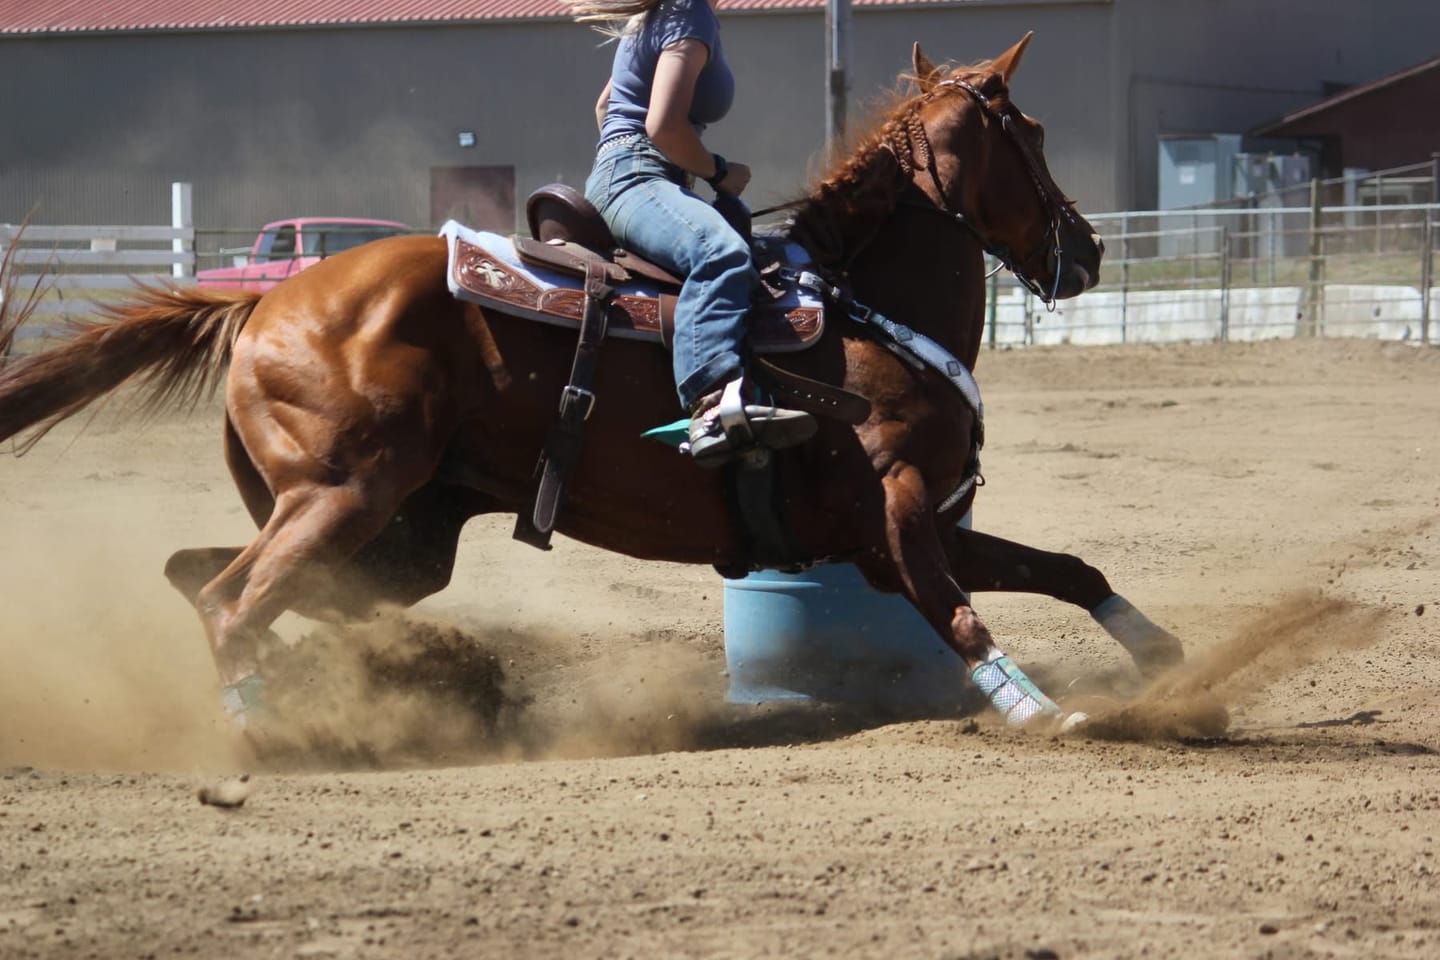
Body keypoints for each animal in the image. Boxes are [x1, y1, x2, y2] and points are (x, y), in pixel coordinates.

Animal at [0, 34, 1181, 731]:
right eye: (1030, 134)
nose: (1088, 252)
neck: (859, 310)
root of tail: (259, 306)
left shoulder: (922, 519)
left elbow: (1067, 568)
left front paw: (1160, 650)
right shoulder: (889, 522)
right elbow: (961, 612)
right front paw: (1040, 709)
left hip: (393, 537)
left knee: (200, 574)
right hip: (345, 498)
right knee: (229, 599)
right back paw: (269, 728)